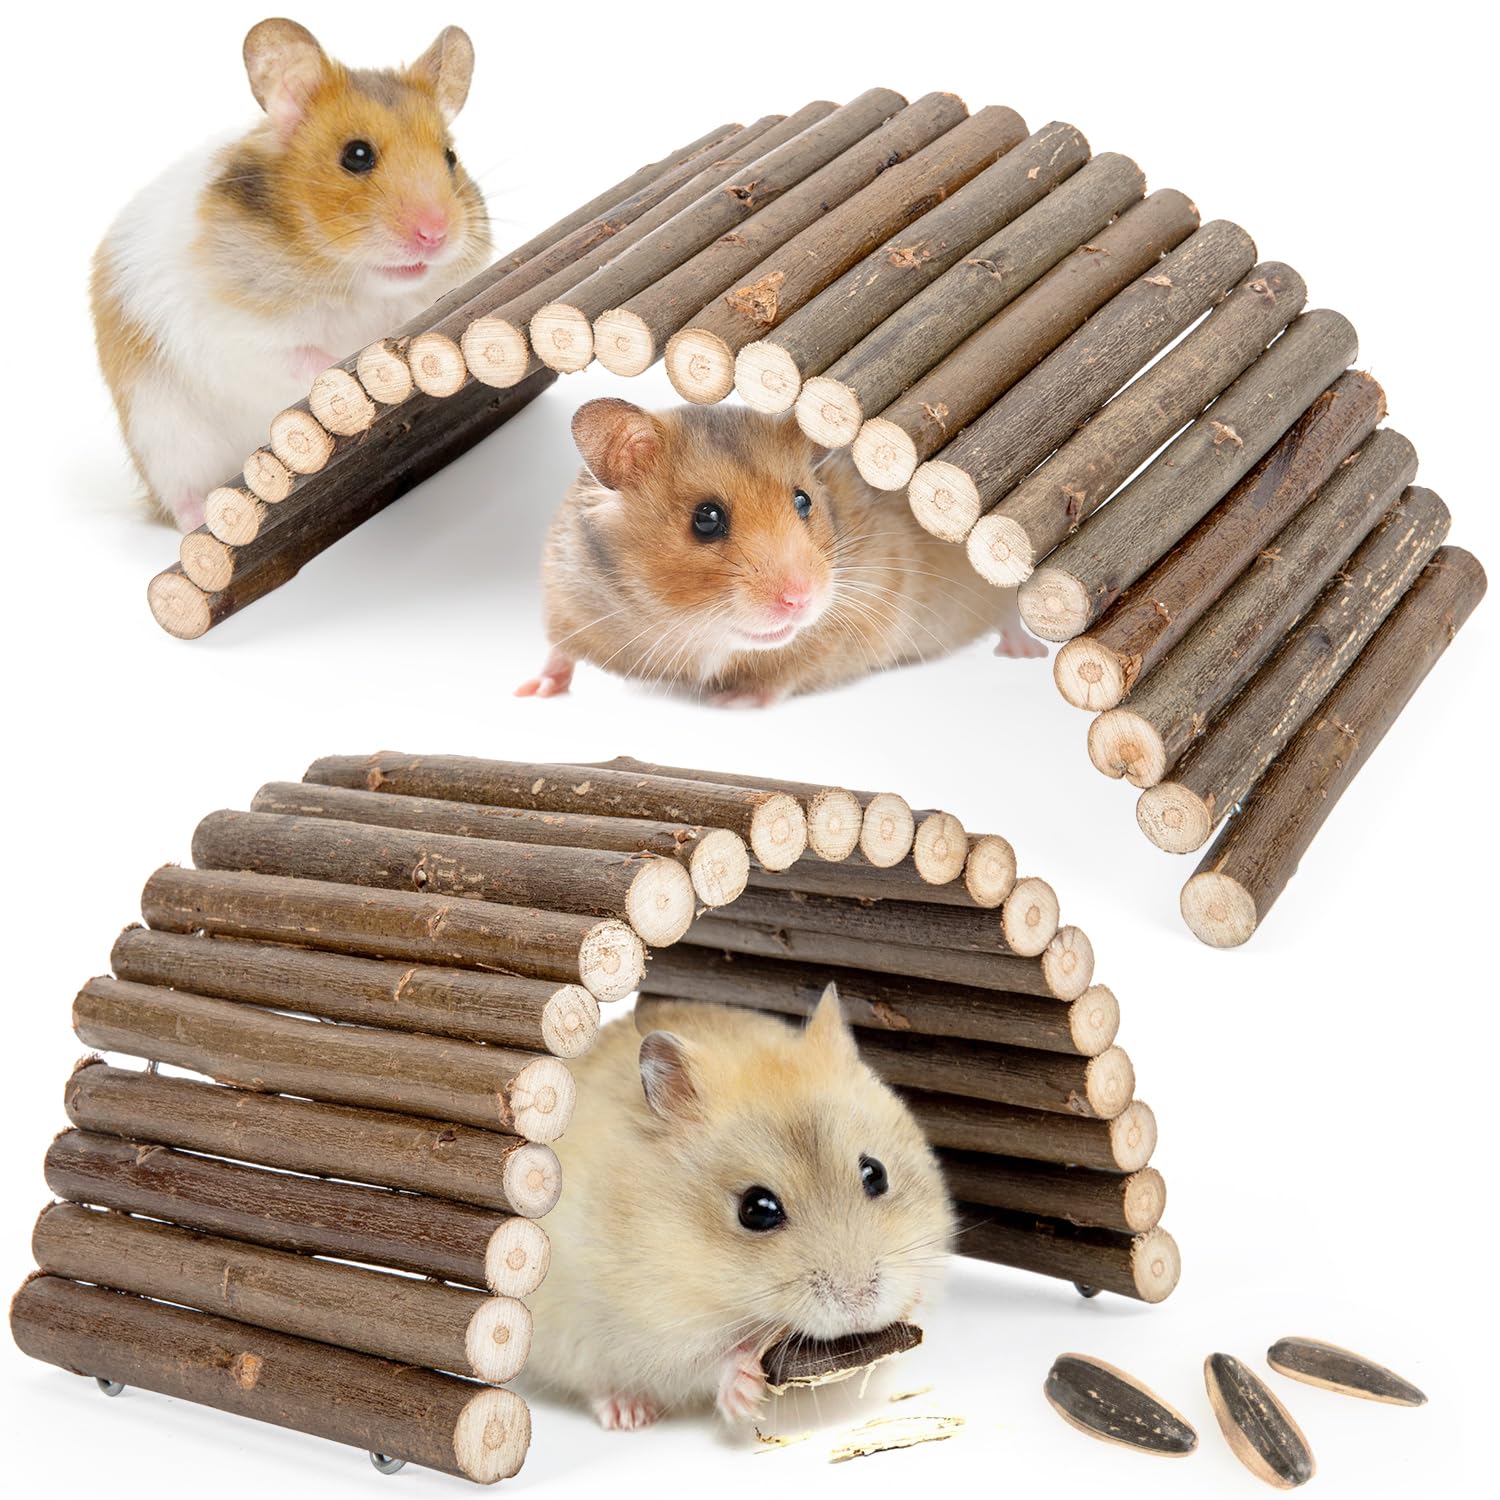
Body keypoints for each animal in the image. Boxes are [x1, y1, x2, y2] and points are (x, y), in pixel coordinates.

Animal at [91, 19, 491, 530]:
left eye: (450, 158)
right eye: (356, 155)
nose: (435, 234)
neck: (358, 284)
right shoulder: (233, 336)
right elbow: (304, 358)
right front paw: (358, 363)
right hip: (163, 438)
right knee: (181, 503)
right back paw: (200, 516)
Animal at [518, 398, 1046, 706]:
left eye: (803, 501)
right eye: (705, 519)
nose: (800, 600)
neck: (694, 632)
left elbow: (786, 670)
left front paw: (732, 703)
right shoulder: (568, 596)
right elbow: (558, 650)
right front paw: (530, 692)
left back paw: (1027, 652)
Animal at [523, 988, 955, 1430]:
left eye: (876, 1174)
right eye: (757, 1209)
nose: (861, 1307)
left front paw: (911, 1302)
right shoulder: (657, 1326)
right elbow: (708, 1362)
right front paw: (747, 1390)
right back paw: (628, 1415)